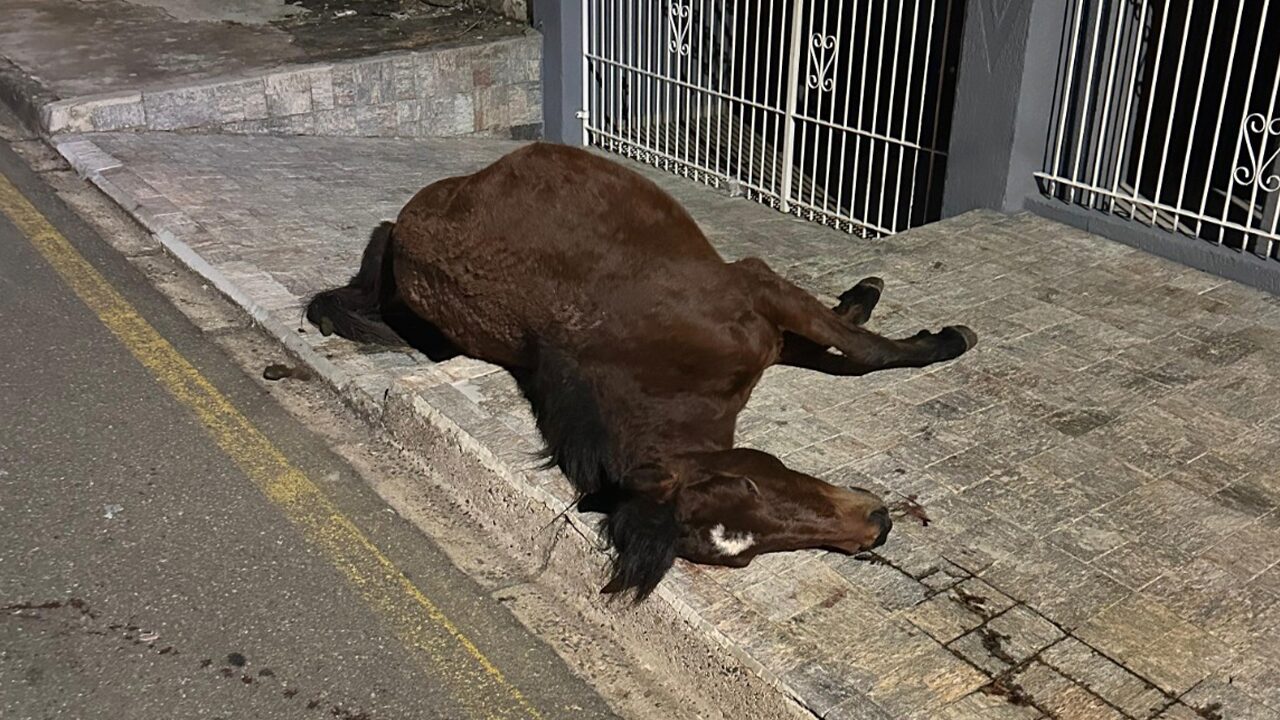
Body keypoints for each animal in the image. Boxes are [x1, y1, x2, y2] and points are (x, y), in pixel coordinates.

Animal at [306, 143, 976, 601]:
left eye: (752, 482)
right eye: (742, 554)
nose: (876, 526)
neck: (657, 363)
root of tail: (404, 224)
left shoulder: (759, 293)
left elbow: (859, 351)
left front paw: (938, 338)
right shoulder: (762, 314)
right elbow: (853, 350)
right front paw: (931, 335)